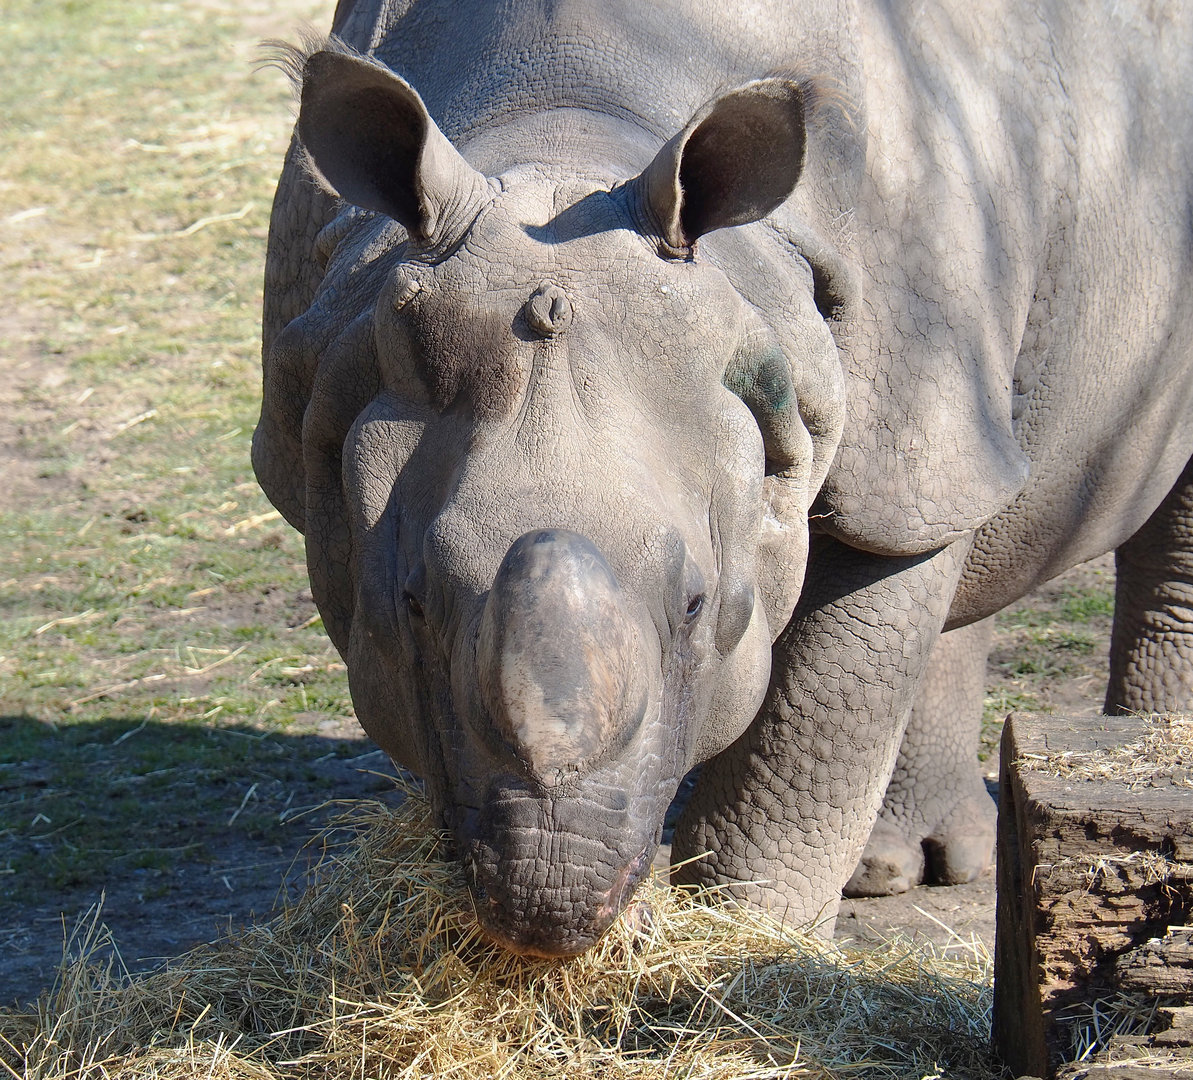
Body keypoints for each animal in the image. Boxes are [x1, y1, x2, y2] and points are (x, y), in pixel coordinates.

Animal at [254, 0, 1193, 955]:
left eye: (696, 605)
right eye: (411, 601)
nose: (553, 894)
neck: (564, 132)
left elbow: (812, 727)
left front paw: (744, 941)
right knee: (964, 504)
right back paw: (910, 865)